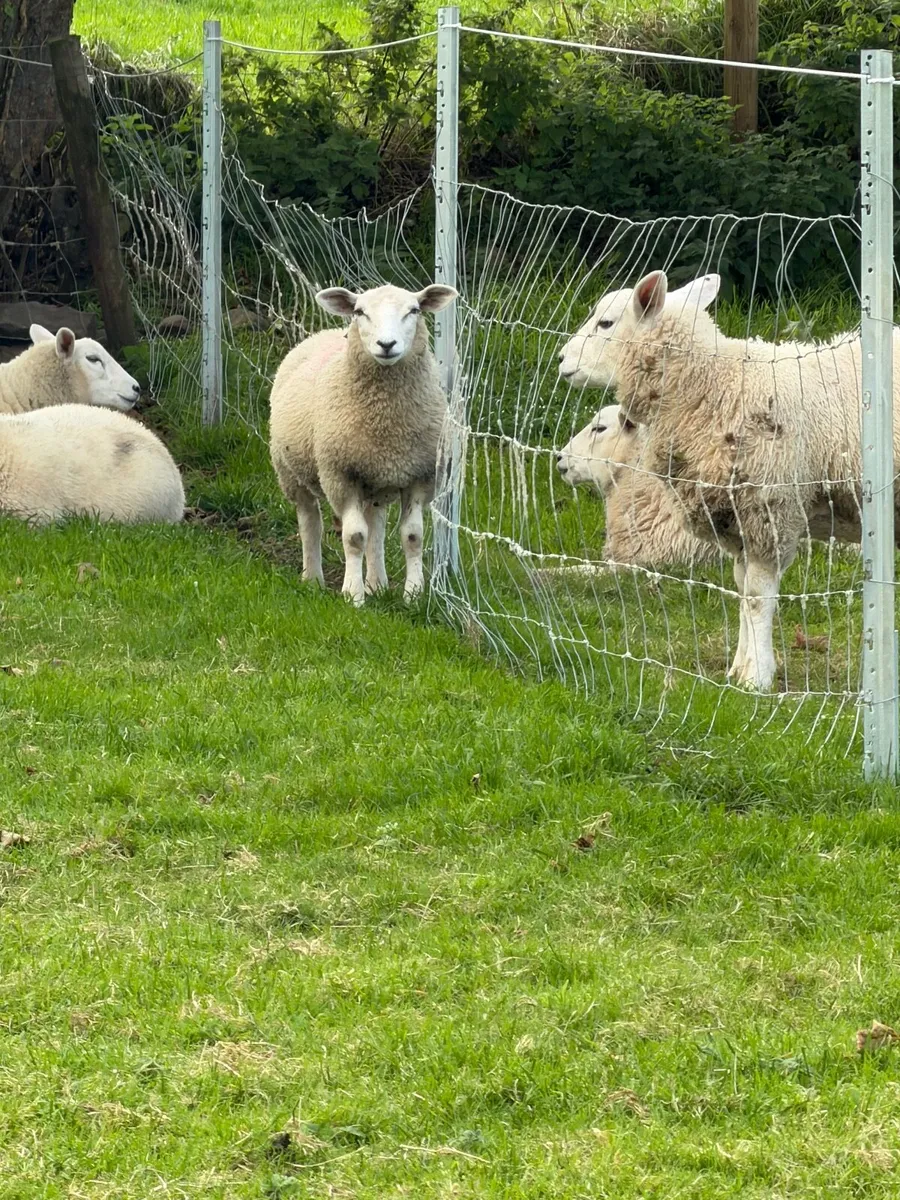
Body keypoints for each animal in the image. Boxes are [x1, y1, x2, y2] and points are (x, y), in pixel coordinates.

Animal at [269, 282, 457, 606]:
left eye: (414, 310)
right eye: (360, 312)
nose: (386, 344)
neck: (387, 422)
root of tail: (325, 332)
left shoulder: (420, 476)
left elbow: (413, 536)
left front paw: (413, 594)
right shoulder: (341, 475)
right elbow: (354, 536)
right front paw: (353, 595)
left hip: (375, 481)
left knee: (376, 525)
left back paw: (377, 583)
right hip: (290, 471)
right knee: (310, 520)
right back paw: (313, 579)